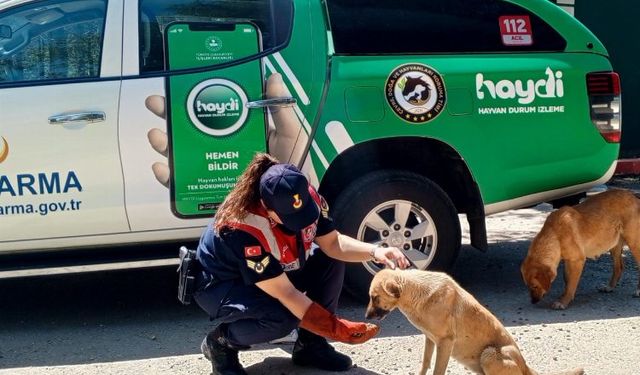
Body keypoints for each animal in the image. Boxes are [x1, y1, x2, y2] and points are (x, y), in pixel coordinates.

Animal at [364, 270, 584, 375]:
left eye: (375, 297)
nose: (365, 317)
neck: (416, 292)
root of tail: (526, 367)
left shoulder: (445, 343)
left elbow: (437, 370)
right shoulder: (429, 339)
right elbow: (425, 364)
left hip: (490, 354)